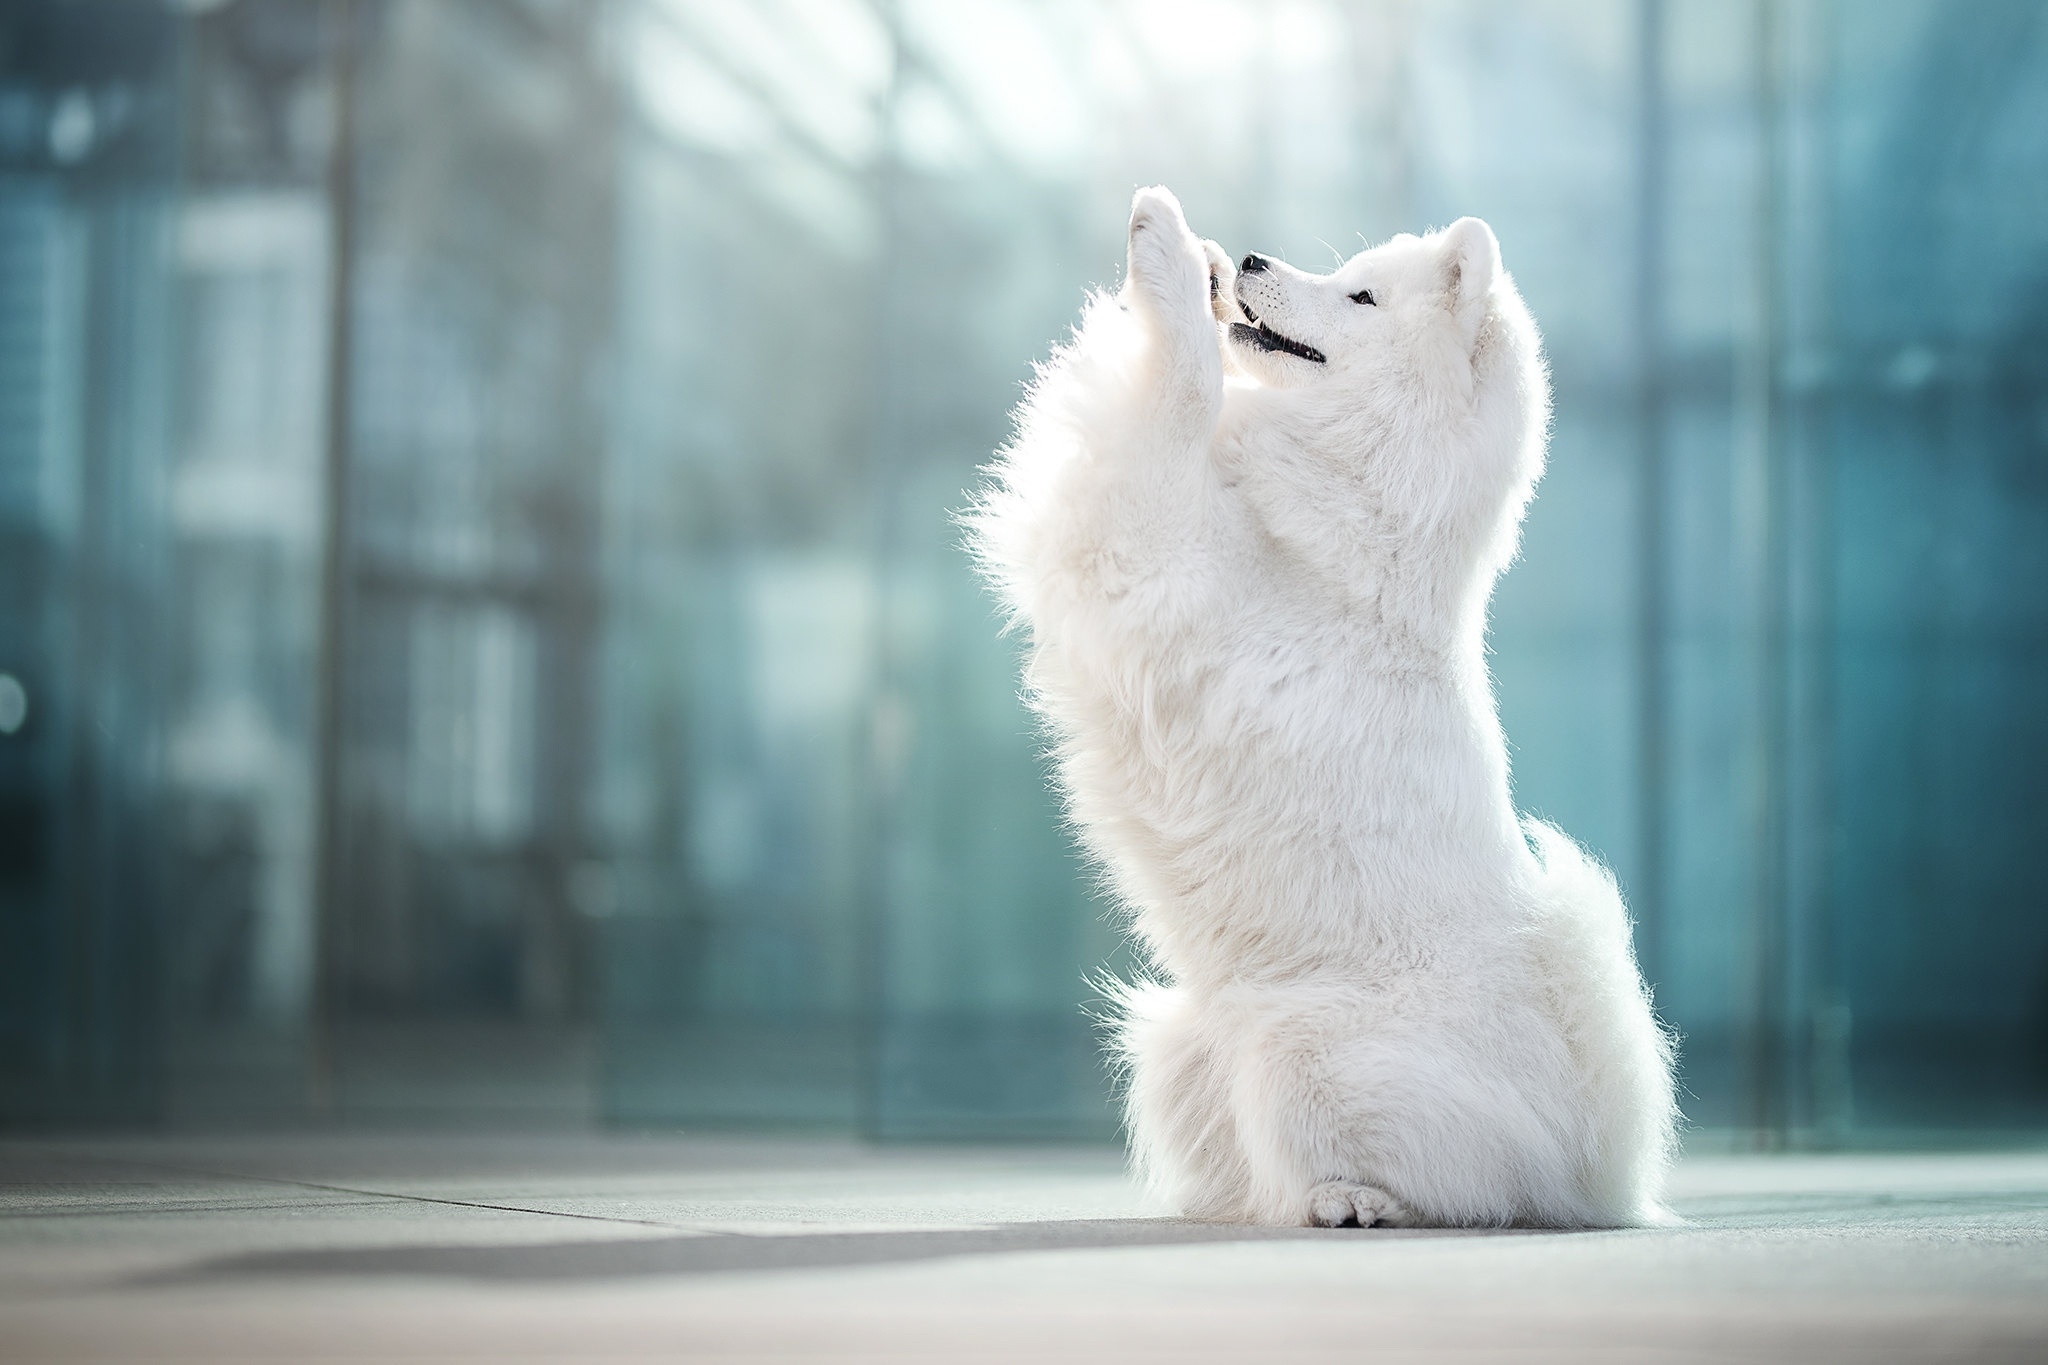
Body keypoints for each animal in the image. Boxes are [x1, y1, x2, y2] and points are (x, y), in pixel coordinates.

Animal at [974, 189, 1679, 1227]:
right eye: (1348, 272)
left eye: (1361, 296)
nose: (1255, 259)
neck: (1358, 535)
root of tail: (1599, 1159)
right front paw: (1200, 262)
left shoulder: (1160, 549)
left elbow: (1181, 393)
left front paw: (1166, 244)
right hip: (1182, 1040)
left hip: (1303, 1044)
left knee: (1478, 1180)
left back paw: (1357, 1198)